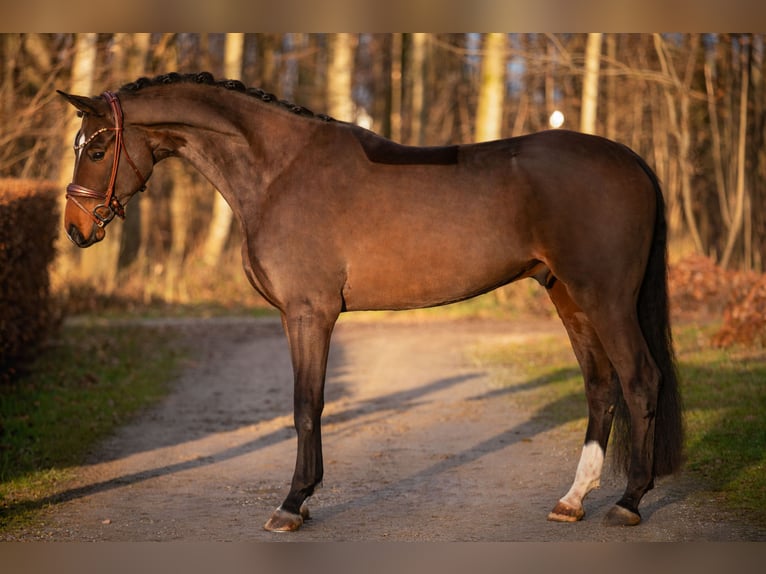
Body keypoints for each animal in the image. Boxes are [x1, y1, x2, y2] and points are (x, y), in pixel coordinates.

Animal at [58, 72, 683, 533]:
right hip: (568, 296)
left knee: (640, 380)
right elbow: (310, 406)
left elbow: (306, 405)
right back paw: (573, 499)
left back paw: (628, 502)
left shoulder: (309, 314)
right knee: (600, 387)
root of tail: (631, 160)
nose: (75, 229)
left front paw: (293, 503)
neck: (278, 171)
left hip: (606, 299)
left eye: (97, 147)